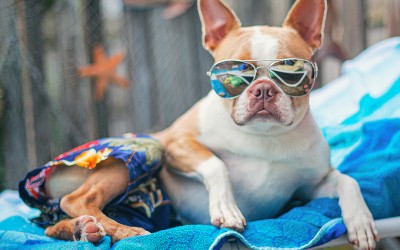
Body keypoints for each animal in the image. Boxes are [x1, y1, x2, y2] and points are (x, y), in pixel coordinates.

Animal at [40, 0, 378, 249]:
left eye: (290, 72)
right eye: (234, 72)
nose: (263, 89)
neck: (264, 136)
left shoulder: (313, 185)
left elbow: (348, 180)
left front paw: (361, 221)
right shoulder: (176, 142)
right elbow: (217, 165)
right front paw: (226, 209)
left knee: (53, 226)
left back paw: (83, 230)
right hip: (145, 148)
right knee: (79, 199)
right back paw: (124, 232)